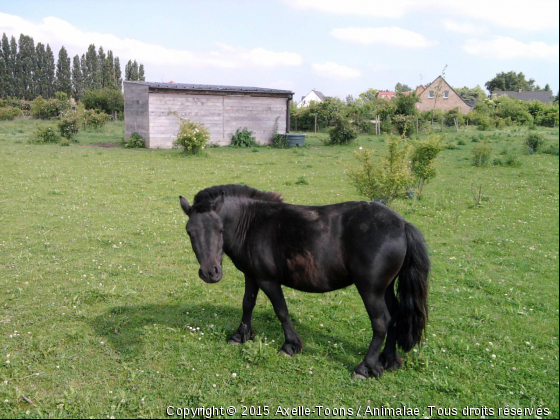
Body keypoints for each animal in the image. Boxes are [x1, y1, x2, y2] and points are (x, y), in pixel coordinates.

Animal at [179, 185, 428, 378]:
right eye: (190, 232)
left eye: (220, 229)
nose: (210, 272)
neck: (251, 224)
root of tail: (402, 225)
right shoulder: (252, 276)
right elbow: (247, 304)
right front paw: (240, 336)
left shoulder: (267, 279)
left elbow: (281, 310)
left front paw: (290, 345)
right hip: (385, 288)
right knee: (394, 315)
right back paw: (388, 359)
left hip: (370, 290)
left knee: (381, 322)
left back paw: (364, 368)